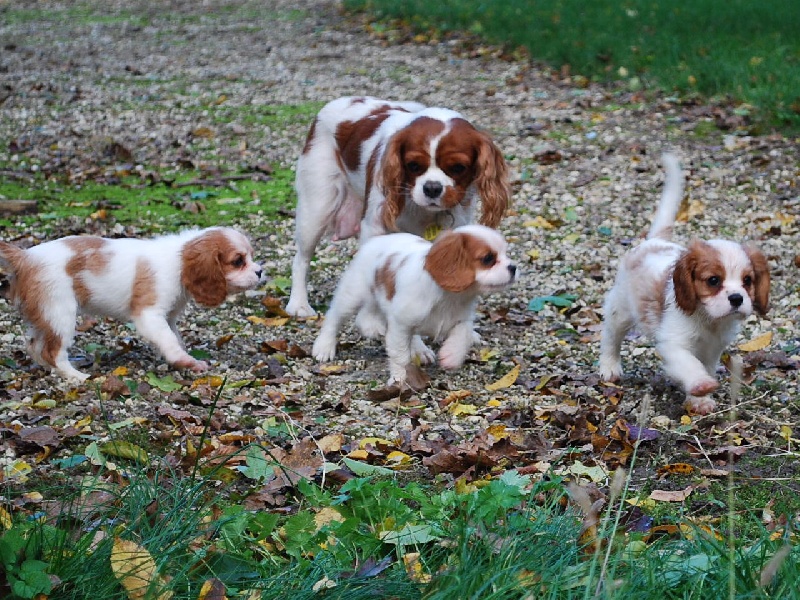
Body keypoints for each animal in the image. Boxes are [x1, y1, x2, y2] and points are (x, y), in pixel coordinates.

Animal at [0, 227, 262, 382]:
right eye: (238, 261)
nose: (260, 271)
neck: (179, 259)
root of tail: (26, 257)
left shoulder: (168, 317)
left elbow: (174, 337)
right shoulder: (150, 315)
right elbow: (169, 340)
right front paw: (185, 361)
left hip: (44, 314)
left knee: (34, 346)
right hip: (60, 312)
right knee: (52, 351)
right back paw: (77, 376)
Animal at [290, 95, 512, 316]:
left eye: (458, 168)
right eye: (413, 166)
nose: (432, 188)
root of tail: (341, 99)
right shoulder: (375, 228)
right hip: (317, 208)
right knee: (301, 258)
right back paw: (299, 303)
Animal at [310, 226, 516, 390]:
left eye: (506, 253)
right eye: (488, 258)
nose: (513, 267)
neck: (450, 296)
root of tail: (378, 239)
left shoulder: (462, 318)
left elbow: (463, 335)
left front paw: (451, 356)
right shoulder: (400, 324)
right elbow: (400, 355)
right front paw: (400, 379)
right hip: (353, 294)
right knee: (335, 317)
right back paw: (324, 347)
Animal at [600, 155, 768, 414]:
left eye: (747, 281)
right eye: (713, 280)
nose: (737, 298)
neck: (708, 320)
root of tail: (655, 241)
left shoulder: (712, 349)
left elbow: (704, 365)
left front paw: (700, 401)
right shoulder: (674, 343)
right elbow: (689, 364)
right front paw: (700, 385)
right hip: (621, 309)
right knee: (611, 335)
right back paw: (609, 366)